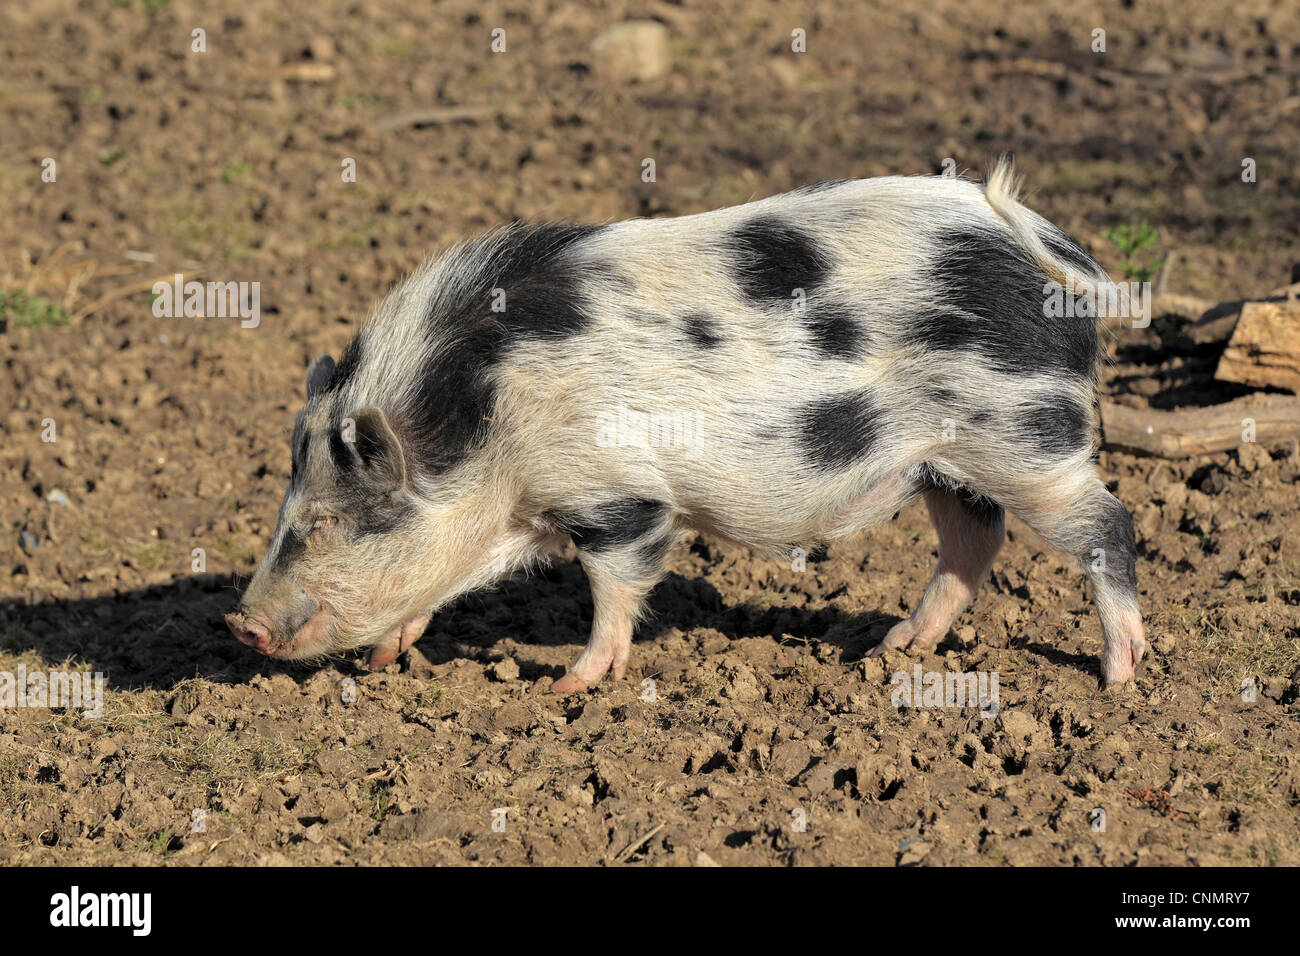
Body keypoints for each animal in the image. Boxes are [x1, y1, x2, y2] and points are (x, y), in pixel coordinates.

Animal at [226, 160, 1149, 691]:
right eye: (286, 512)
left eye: (325, 522)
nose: (239, 623)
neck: (485, 420)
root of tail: (1044, 245)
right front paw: (390, 655)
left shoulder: (615, 493)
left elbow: (616, 585)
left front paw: (569, 685)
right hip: (948, 460)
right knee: (975, 539)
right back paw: (892, 648)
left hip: (1025, 435)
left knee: (1110, 525)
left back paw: (1117, 677)